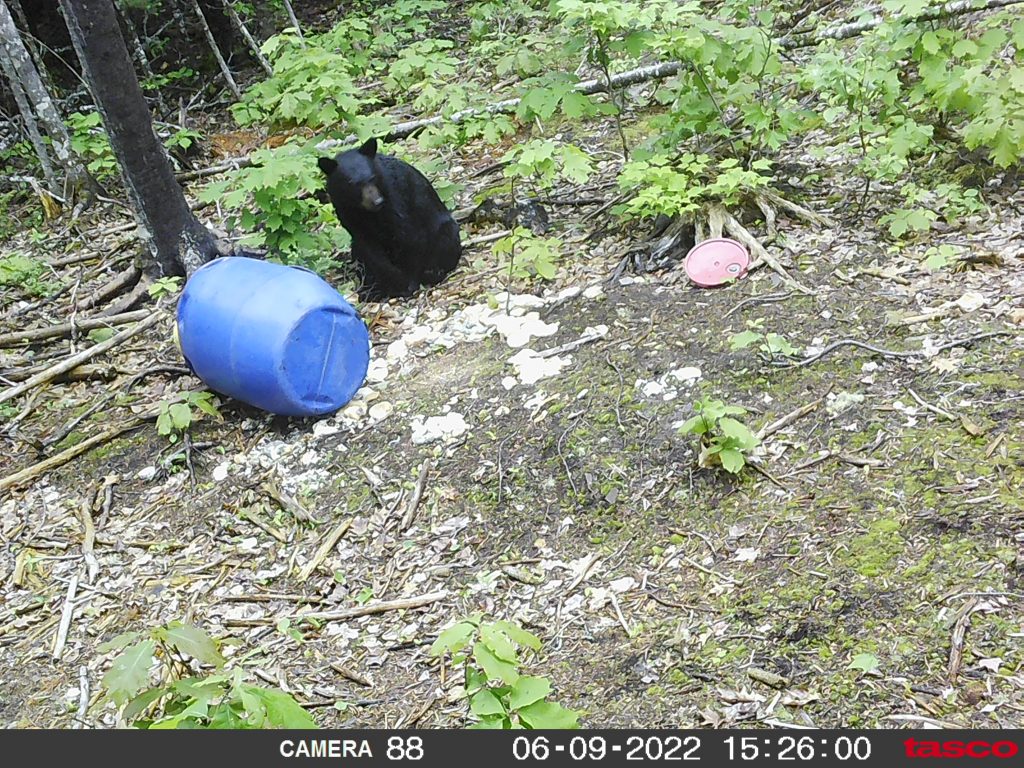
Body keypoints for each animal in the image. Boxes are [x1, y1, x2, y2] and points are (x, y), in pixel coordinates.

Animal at [315, 139, 460, 301]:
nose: (377, 201)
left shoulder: (395, 198)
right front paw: (390, 284)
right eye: (352, 183)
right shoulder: (347, 212)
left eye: (372, 177)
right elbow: (372, 252)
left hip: (444, 229)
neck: (364, 211)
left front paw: (408, 284)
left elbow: (409, 237)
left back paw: (433, 272)